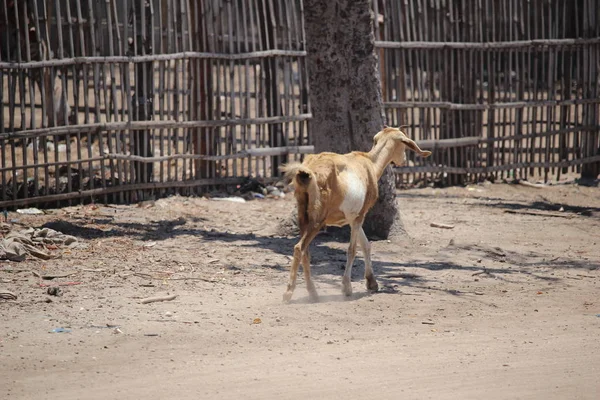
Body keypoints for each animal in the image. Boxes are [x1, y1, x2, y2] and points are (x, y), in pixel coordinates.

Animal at [282, 126, 432, 302]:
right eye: (404, 144)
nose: (403, 160)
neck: (370, 164)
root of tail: (307, 171)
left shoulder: (354, 217)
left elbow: (366, 245)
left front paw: (372, 283)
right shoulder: (360, 216)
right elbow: (352, 249)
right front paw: (347, 288)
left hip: (303, 216)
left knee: (305, 251)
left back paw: (313, 293)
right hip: (317, 220)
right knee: (299, 248)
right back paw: (289, 293)